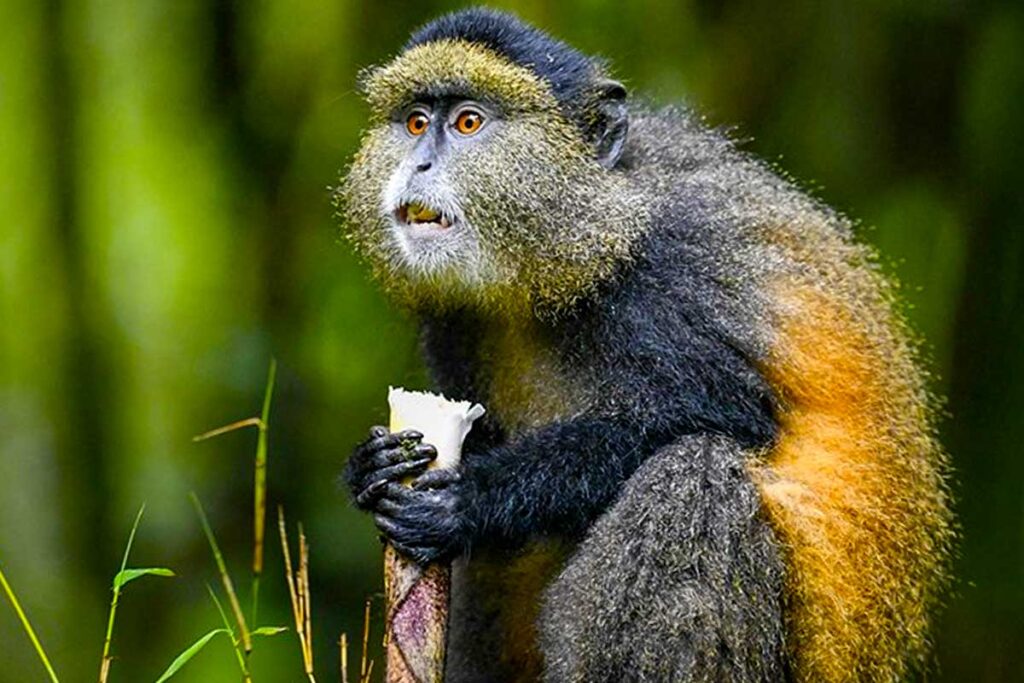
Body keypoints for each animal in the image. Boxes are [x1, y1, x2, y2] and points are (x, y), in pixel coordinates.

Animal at [337, 8, 954, 683]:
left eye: (468, 122)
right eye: (416, 122)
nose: (418, 165)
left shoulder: (668, 270)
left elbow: (727, 415)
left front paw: (470, 498)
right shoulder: (452, 320)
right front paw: (372, 466)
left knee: (697, 472)